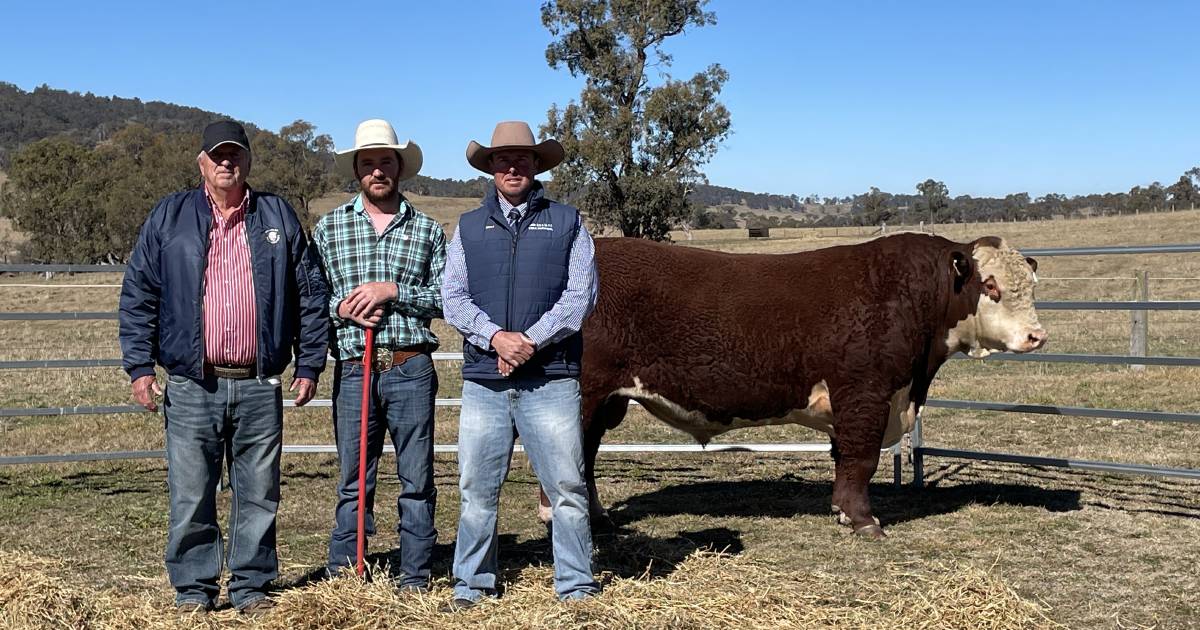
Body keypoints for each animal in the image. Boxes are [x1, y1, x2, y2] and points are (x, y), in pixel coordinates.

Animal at [540, 230, 1046, 535]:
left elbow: (844, 460)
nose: (1036, 336)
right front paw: (864, 522)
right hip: (583, 395)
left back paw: (599, 518)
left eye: (1031, 286)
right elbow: (861, 460)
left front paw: (841, 512)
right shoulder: (865, 394)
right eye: (992, 286)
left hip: (605, 403)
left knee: (585, 455)